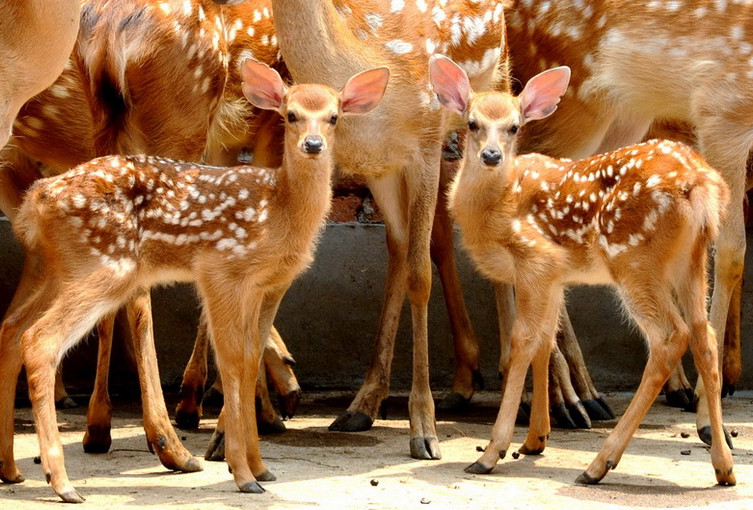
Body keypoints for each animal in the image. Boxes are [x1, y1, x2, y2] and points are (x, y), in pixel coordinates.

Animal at [0, 59, 388, 502]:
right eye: (290, 115)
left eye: (334, 116)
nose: (313, 144)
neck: (279, 210)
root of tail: (38, 198)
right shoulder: (220, 270)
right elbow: (233, 360)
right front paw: (243, 473)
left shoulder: (266, 286)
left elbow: (250, 360)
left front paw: (261, 467)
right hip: (105, 266)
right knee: (40, 339)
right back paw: (62, 483)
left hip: (54, 267)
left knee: (11, 329)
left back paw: (11, 470)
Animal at [432, 54, 732, 486]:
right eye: (472, 123)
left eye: (514, 127)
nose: (491, 156)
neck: (496, 206)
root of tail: (703, 186)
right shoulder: (554, 277)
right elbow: (545, 340)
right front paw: (535, 440)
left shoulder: (535, 258)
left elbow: (523, 341)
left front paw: (494, 451)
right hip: (691, 263)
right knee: (703, 335)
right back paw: (724, 466)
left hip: (633, 260)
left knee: (670, 337)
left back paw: (599, 463)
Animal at [502, 0, 748, 442]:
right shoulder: (722, 103)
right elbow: (731, 254)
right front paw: (707, 420)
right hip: (573, 104)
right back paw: (568, 403)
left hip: (623, 115)